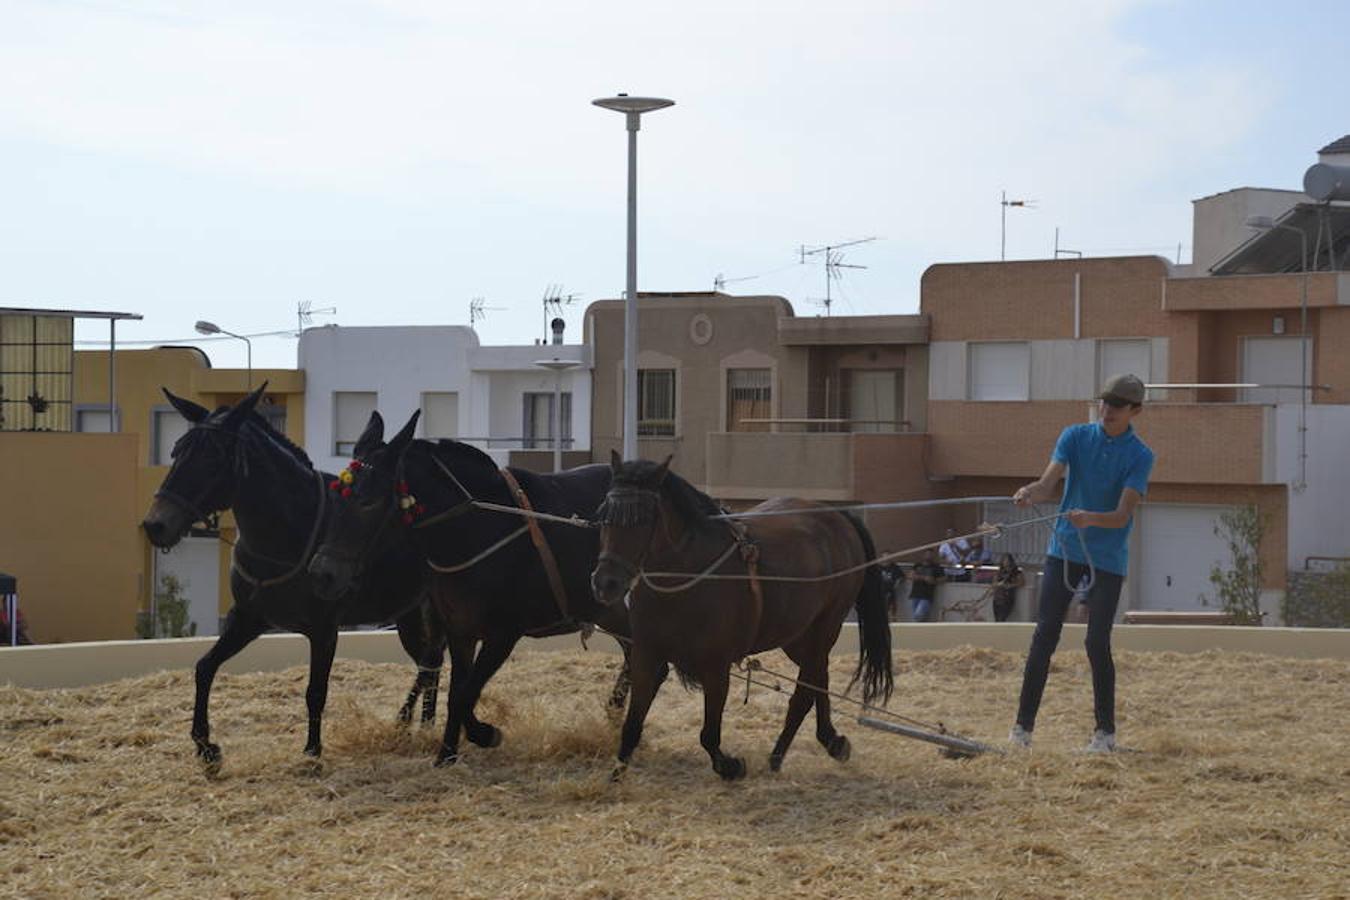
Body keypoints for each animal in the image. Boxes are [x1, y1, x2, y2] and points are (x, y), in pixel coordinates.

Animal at [594, 458, 896, 782]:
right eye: (605, 516)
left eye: (643, 519)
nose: (605, 583)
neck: (687, 575)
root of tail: (838, 517)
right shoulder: (646, 656)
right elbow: (632, 725)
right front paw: (615, 775)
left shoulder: (715, 665)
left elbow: (709, 735)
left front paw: (731, 766)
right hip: (796, 636)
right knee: (819, 679)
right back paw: (829, 741)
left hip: (824, 627)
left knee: (805, 691)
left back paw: (781, 755)